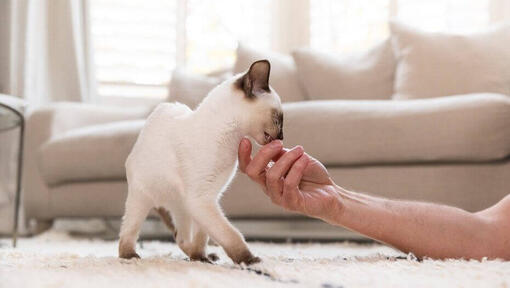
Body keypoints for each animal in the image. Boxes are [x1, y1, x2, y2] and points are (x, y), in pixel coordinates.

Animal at [119, 60, 284, 266]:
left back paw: (199, 256)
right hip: (143, 198)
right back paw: (130, 256)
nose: (282, 137)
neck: (230, 141)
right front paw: (249, 260)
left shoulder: (210, 195)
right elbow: (230, 235)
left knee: (180, 237)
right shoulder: (201, 199)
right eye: (278, 119)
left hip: (182, 207)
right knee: (127, 233)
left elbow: (202, 236)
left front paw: (201, 258)